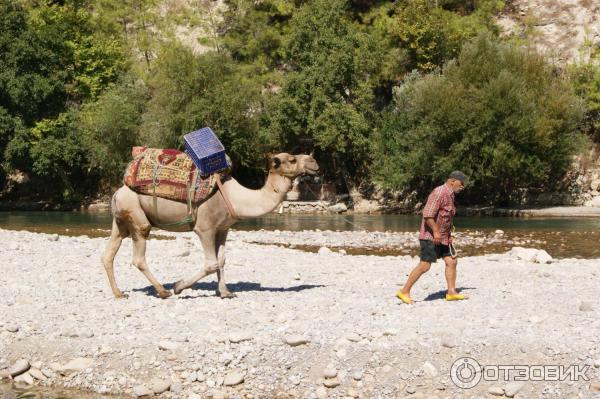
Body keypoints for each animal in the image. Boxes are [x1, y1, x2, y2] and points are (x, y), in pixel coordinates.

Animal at [101, 153, 322, 300]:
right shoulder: (205, 228)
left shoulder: (223, 228)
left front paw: (225, 292)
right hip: (136, 215)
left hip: (120, 221)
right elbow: (211, 263)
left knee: (108, 254)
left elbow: (222, 260)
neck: (236, 197)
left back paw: (119, 293)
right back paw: (163, 291)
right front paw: (179, 286)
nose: (314, 161)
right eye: (292, 159)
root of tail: (117, 192)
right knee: (138, 255)